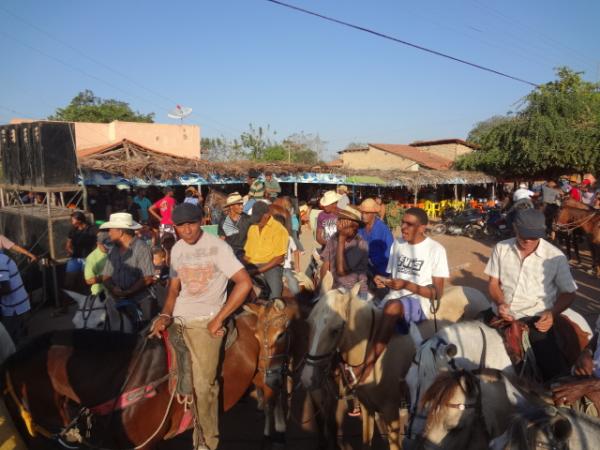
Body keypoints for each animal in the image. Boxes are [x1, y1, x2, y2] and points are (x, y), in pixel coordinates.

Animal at [1, 298, 298, 450]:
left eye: (13, 401)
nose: (25, 438)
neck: (126, 376)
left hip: (266, 373)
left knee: (273, 398)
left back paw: (277, 433)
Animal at [300, 274, 492, 450]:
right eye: (308, 323)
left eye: (336, 329)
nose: (307, 378)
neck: (370, 350)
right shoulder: (366, 407)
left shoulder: (391, 413)